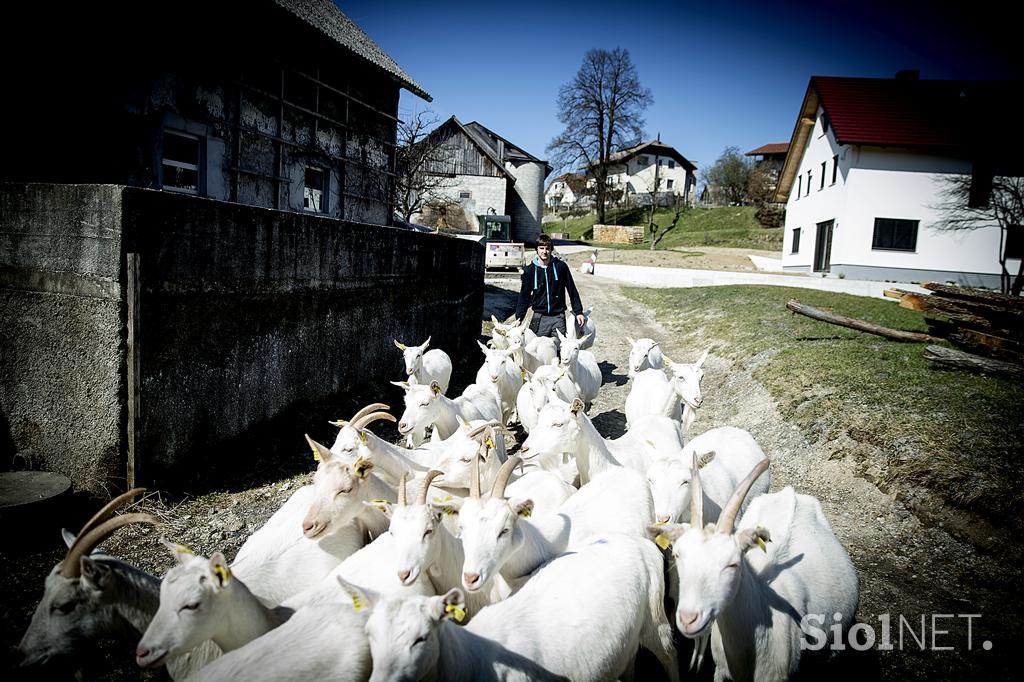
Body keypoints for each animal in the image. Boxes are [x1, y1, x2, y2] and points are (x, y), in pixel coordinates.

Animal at [360, 532, 679, 679]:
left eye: (422, 638)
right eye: (370, 636)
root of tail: (635, 540)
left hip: (655, 622)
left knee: (669, 654)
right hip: (625, 641)